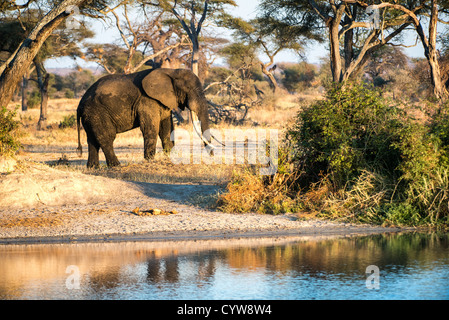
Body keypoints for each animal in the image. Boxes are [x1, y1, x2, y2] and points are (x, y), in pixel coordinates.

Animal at [77, 67, 214, 168]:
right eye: (188, 89)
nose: (212, 156)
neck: (171, 71)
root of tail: (80, 103)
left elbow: (166, 128)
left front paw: (169, 157)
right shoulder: (147, 101)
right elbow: (151, 128)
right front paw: (149, 161)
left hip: (90, 115)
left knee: (92, 139)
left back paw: (93, 168)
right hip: (97, 112)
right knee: (106, 137)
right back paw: (116, 166)